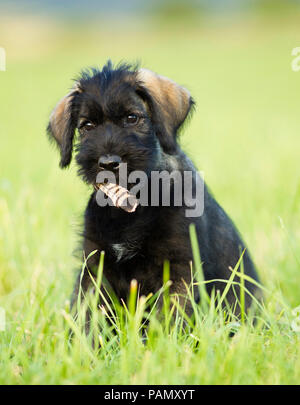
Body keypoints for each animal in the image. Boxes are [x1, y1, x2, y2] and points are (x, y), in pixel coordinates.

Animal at [47, 60, 260, 318]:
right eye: (87, 125)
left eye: (132, 117)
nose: (108, 163)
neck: (132, 204)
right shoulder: (95, 266)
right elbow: (89, 315)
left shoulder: (179, 267)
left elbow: (168, 316)